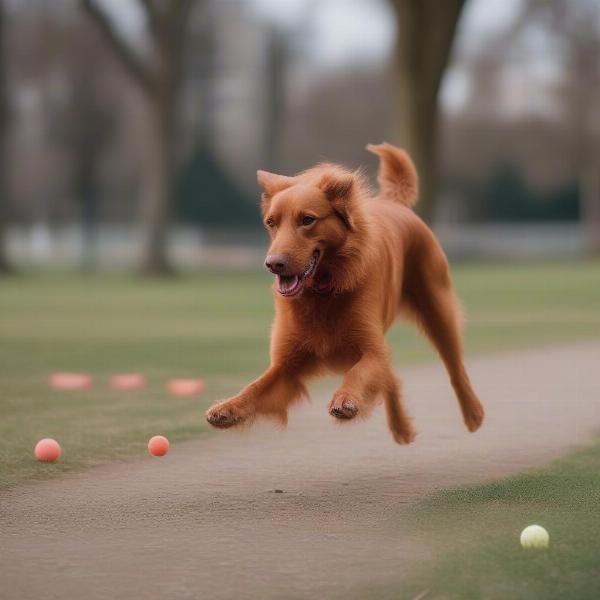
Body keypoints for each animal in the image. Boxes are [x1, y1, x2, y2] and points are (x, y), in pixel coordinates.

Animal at [205, 143, 482, 442]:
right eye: (271, 222)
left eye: (307, 220)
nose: (273, 264)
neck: (323, 291)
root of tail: (393, 202)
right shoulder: (285, 365)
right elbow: (255, 387)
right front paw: (228, 408)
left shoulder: (372, 349)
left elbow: (358, 374)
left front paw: (345, 400)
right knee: (392, 379)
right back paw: (401, 428)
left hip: (438, 312)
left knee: (455, 370)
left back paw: (473, 414)